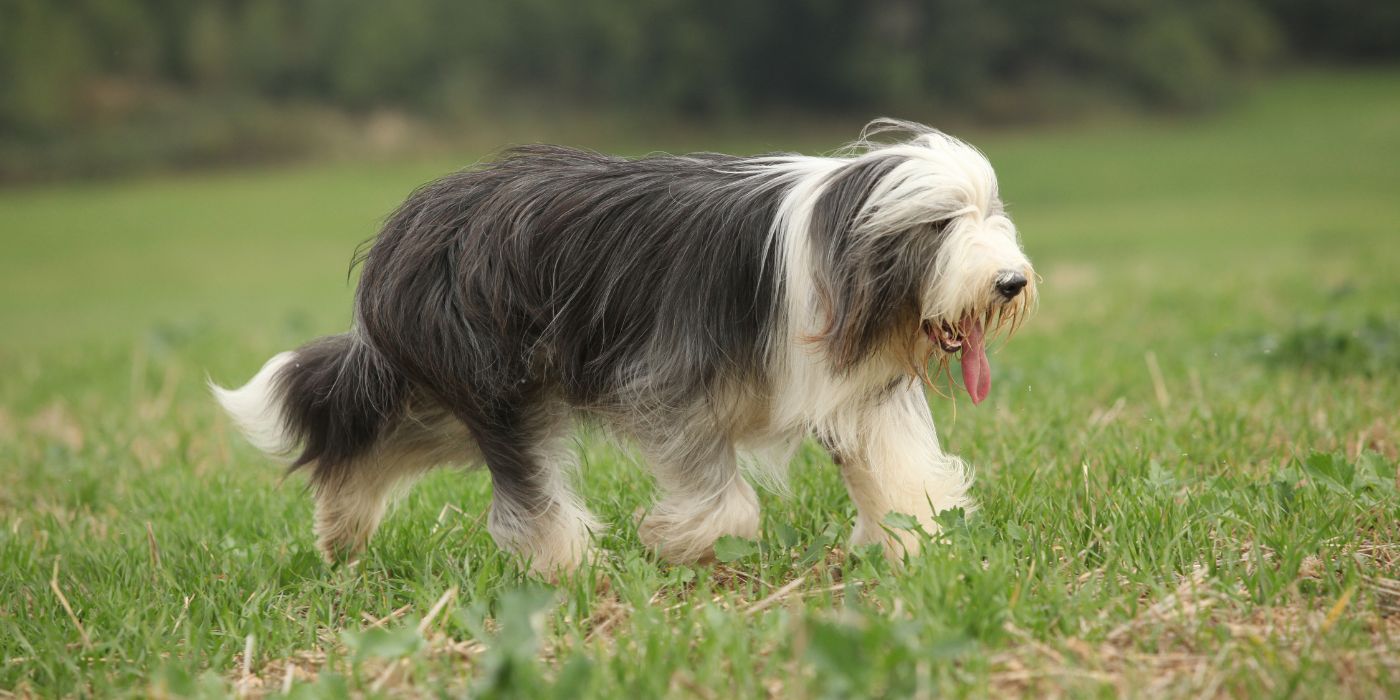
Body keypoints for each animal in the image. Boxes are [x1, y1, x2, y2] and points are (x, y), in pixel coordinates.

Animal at [212, 120, 1036, 574]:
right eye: (940, 224)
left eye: (989, 212)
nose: (1011, 282)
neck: (835, 245)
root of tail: (406, 224)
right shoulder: (670, 377)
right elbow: (718, 494)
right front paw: (692, 544)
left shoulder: (858, 395)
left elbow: (897, 471)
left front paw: (923, 547)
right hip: (492, 379)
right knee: (527, 490)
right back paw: (570, 569)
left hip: (453, 396)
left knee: (376, 442)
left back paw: (340, 530)